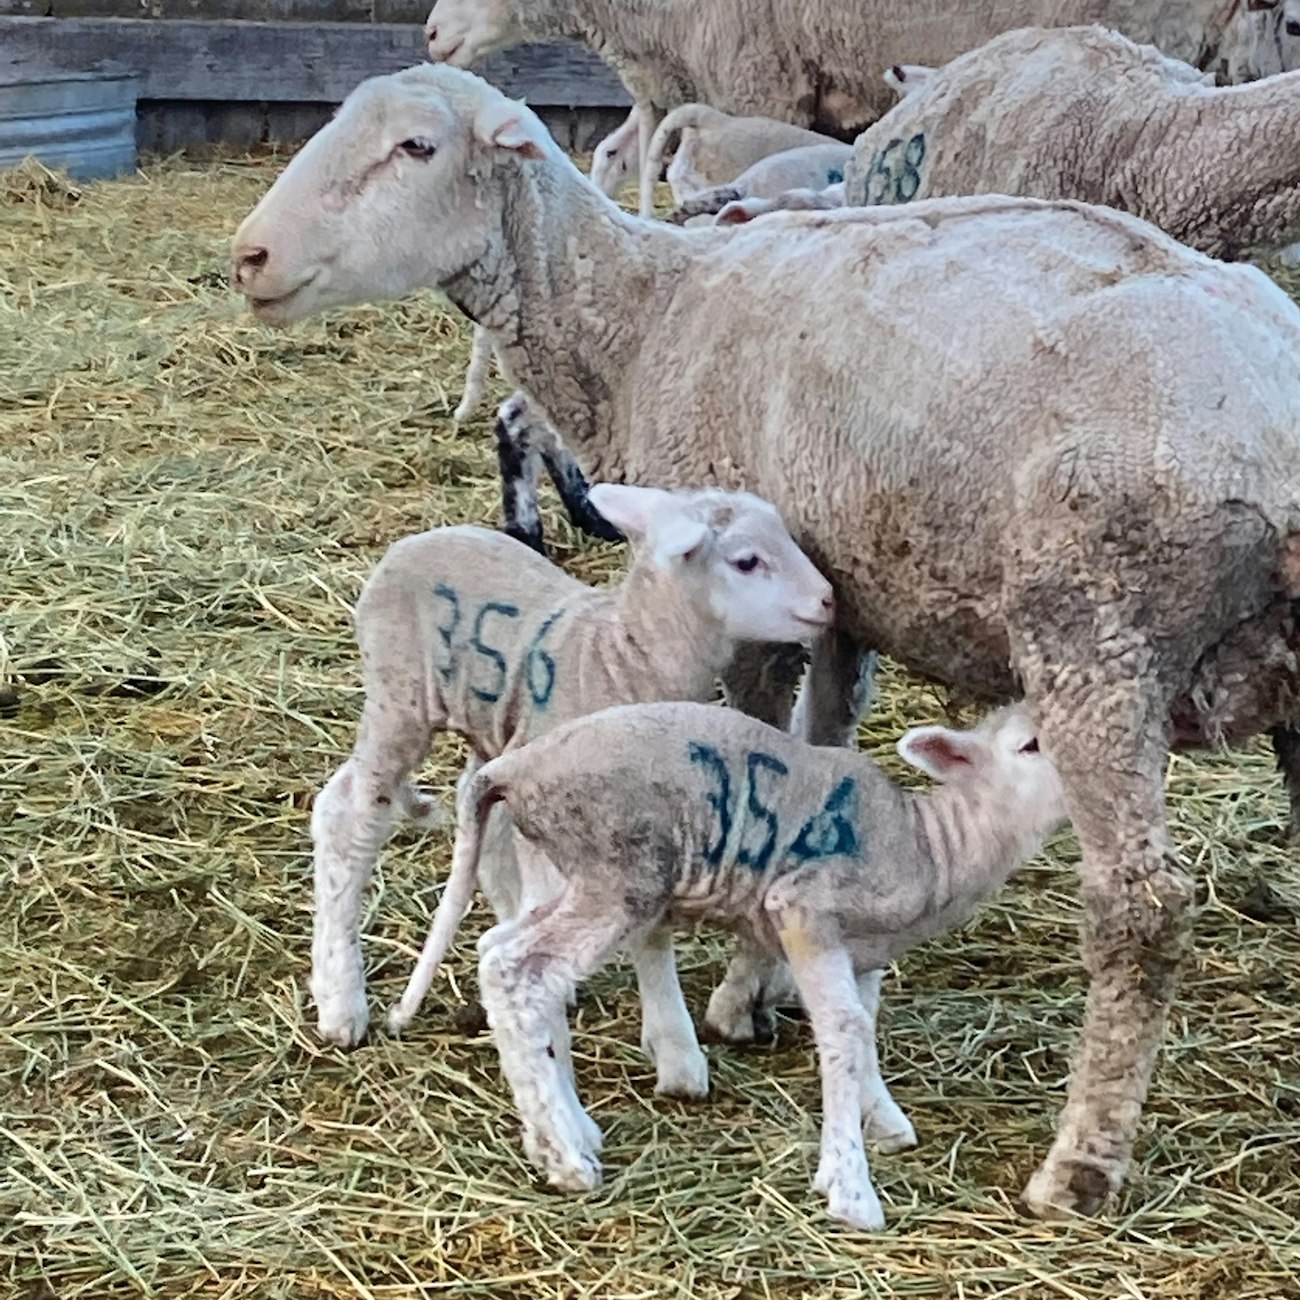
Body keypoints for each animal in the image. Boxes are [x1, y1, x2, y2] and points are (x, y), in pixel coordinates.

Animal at [308, 477, 834, 1089]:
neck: (623, 659)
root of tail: (412, 542)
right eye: (747, 561)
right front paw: (669, 1050)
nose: (829, 600)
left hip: (488, 732)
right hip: (401, 701)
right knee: (352, 816)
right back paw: (341, 1003)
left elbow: (646, 926)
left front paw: (667, 1044)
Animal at [439, 698, 1066, 1227]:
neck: (933, 847)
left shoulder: (864, 954)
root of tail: (517, 767)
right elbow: (844, 1032)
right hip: (617, 871)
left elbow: (865, 1030)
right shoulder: (802, 909)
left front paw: (882, 1120)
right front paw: (850, 1189)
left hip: (580, 873)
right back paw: (564, 1158)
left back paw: (572, 1130)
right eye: (1031, 744)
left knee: (502, 952)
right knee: (519, 972)